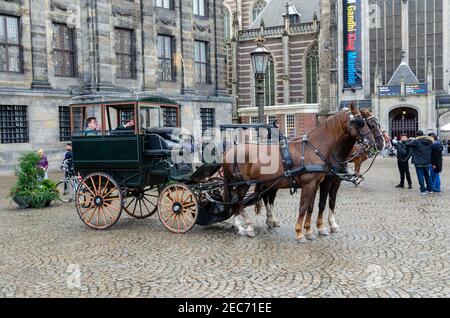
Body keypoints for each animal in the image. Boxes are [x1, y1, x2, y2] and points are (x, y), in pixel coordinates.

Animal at [222, 104, 376, 241]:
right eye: (361, 122)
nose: (373, 143)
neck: (315, 148)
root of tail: (231, 150)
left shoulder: (315, 184)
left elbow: (311, 207)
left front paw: (309, 231)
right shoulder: (310, 183)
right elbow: (303, 207)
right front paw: (299, 233)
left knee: (241, 203)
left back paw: (243, 226)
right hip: (242, 184)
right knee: (238, 203)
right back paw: (247, 227)